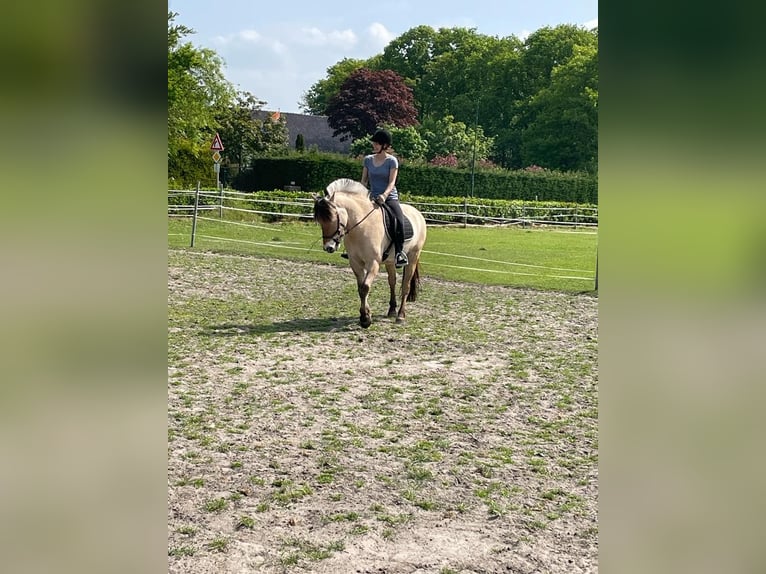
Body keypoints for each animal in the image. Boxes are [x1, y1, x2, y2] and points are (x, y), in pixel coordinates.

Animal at [313, 178, 427, 328]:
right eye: (320, 221)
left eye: (332, 218)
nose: (328, 247)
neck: (361, 226)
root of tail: (417, 213)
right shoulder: (355, 263)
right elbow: (360, 288)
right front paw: (364, 316)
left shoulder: (373, 263)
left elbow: (365, 287)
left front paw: (366, 319)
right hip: (390, 261)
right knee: (392, 282)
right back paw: (392, 310)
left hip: (413, 257)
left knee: (406, 286)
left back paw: (401, 315)